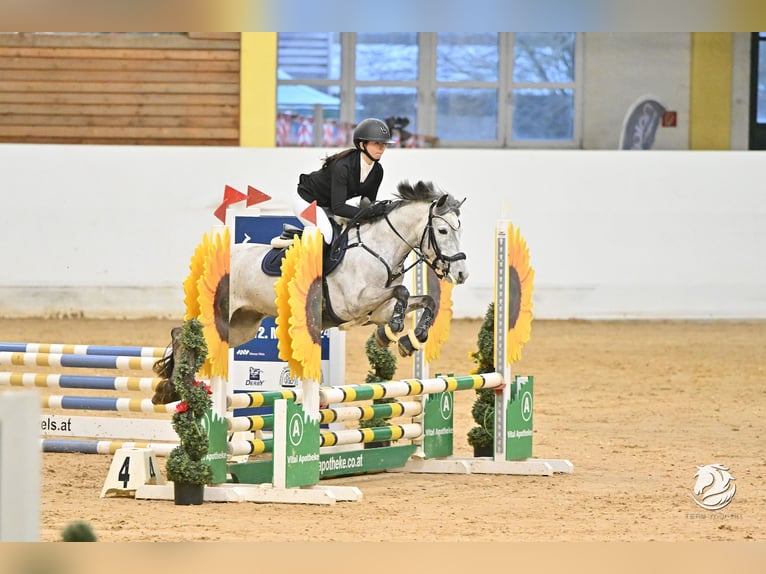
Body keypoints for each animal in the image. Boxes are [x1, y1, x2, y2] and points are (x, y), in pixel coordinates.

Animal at [153, 182, 468, 408]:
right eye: (442, 230)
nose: (461, 273)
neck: (378, 249)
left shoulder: (376, 309)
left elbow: (425, 301)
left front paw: (408, 339)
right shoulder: (352, 304)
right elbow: (402, 291)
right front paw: (394, 330)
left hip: (242, 325)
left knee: (198, 339)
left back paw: (170, 389)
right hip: (220, 315)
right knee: (182, 333)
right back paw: (175, 385)